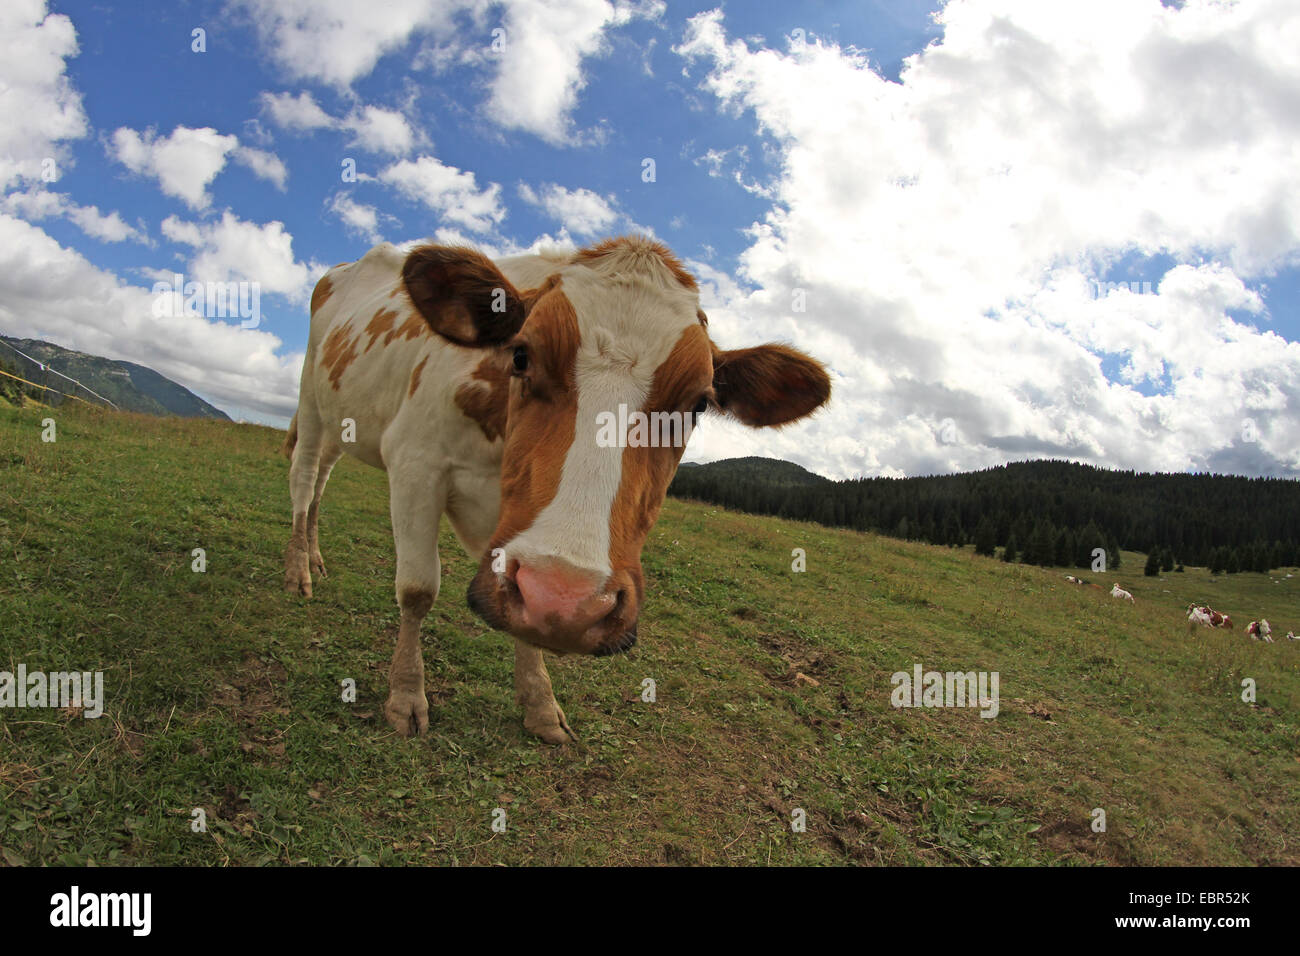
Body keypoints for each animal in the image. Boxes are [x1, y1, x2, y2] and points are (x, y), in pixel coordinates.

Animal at [282, 237, 831, 742]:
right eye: (521, 355)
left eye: (697, 404)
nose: (570, 600)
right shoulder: (415, 464)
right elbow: (417, 591)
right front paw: (405, 697)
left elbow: (526, 620)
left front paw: (542, 706)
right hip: (310, 398)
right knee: (304, 482)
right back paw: (298, 574)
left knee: (322, 480)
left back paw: (315, 558)